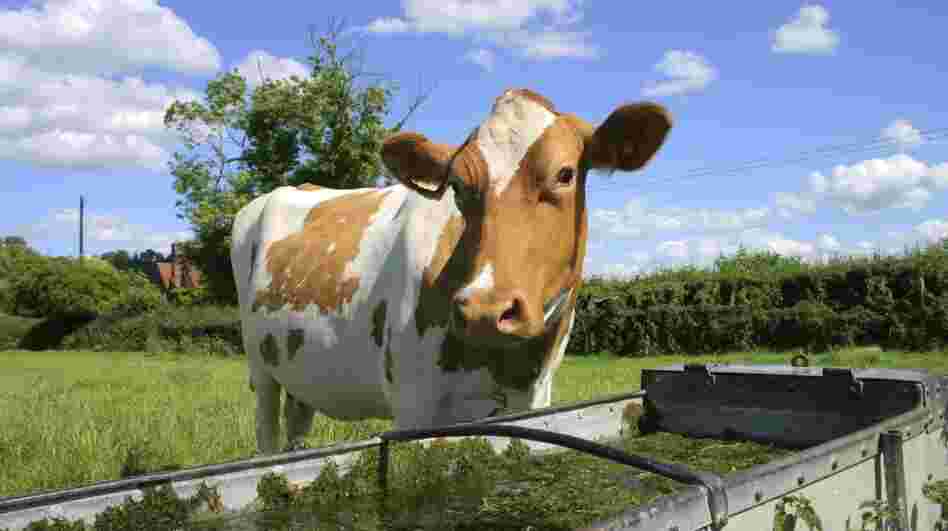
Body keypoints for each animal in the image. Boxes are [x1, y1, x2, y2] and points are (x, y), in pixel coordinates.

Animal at [231, 88, 672, 454]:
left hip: (299, 374)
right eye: (457, 186)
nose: (484, 311)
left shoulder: (536, 398)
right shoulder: (413, 407)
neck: (509, 366)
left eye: (565, 174)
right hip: (260, 369)